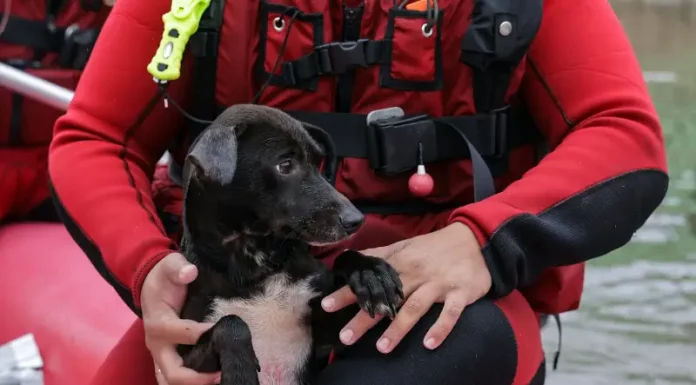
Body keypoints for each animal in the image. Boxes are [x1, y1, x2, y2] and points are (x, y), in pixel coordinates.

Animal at [177, 104, 402, 384]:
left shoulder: (327, 337)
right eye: (285, 165)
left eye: (318, 163)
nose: (356, 220)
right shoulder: (187, 364)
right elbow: (231, 323)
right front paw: (240, 373)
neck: (257, 263)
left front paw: (372, 274)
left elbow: (344, 256)